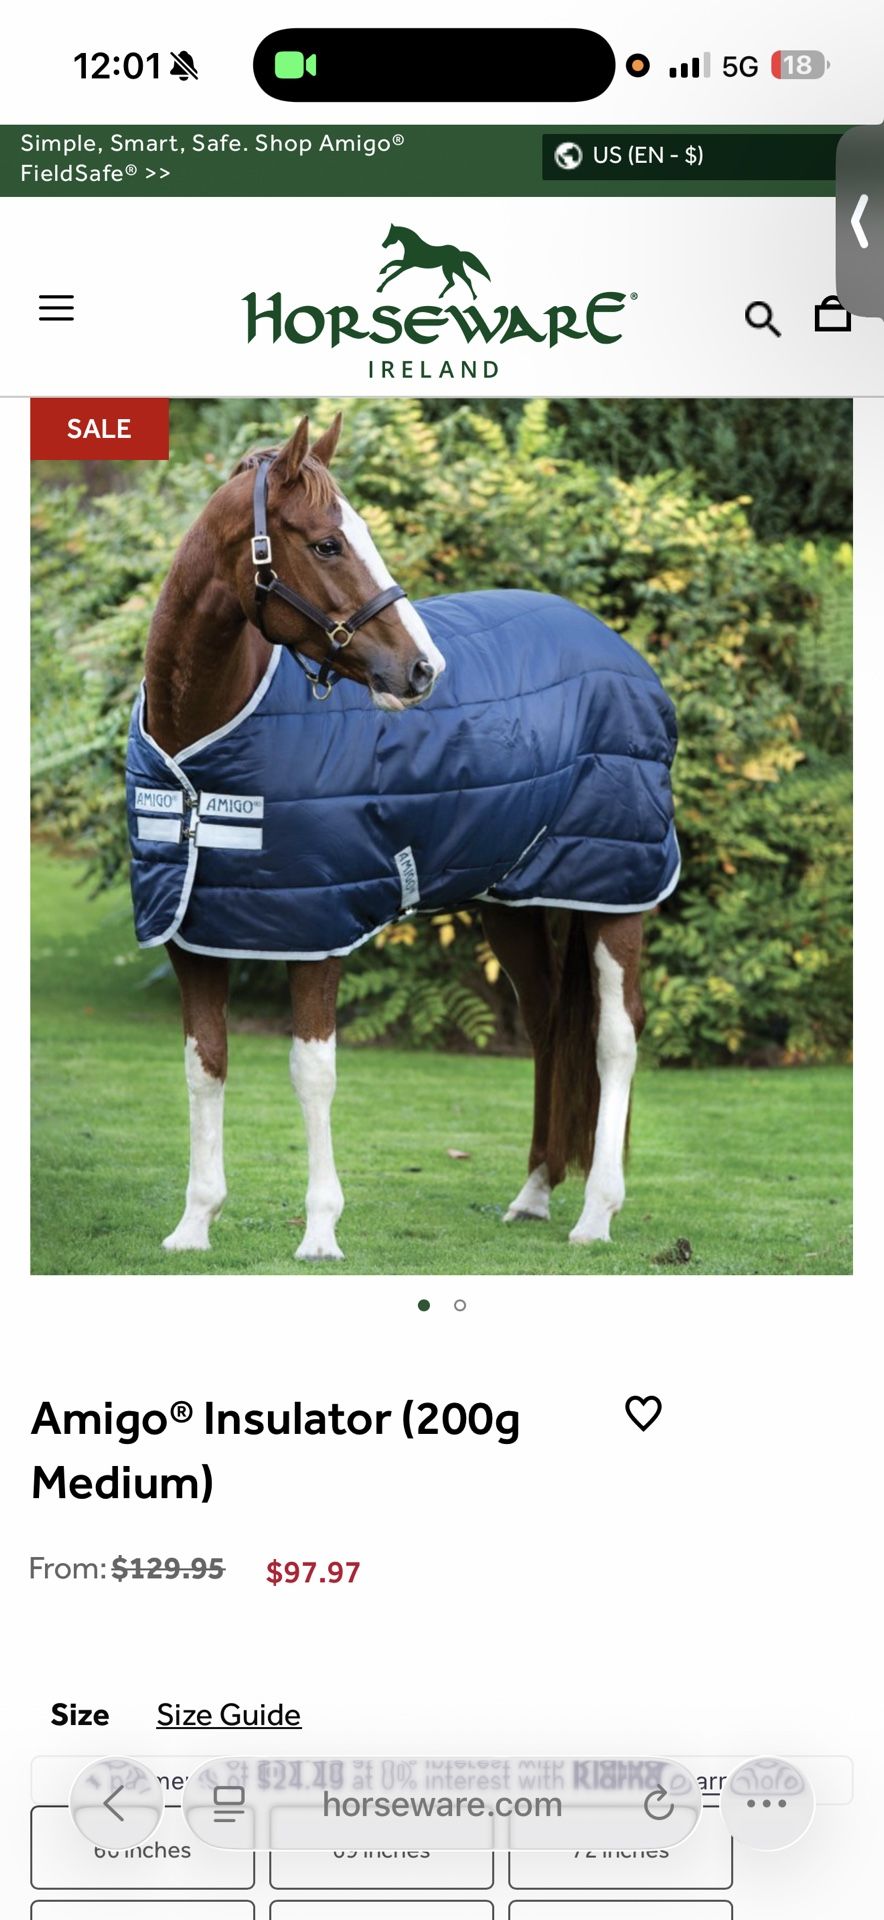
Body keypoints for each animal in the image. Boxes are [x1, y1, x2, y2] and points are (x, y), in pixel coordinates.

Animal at [130, 413, 678, 1261]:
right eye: (327, 543)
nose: (422, 669)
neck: (200, 754)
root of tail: (622, 654)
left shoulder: (316, 932)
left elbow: (312, 1073)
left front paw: (320, 1233)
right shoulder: (193, 931)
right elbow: (205, 1067)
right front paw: (193, 1225)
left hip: (617, 892)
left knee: (615, 1037)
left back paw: (596, 1213)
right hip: (515, 903)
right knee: (552, 1025)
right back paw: (534, 1193)